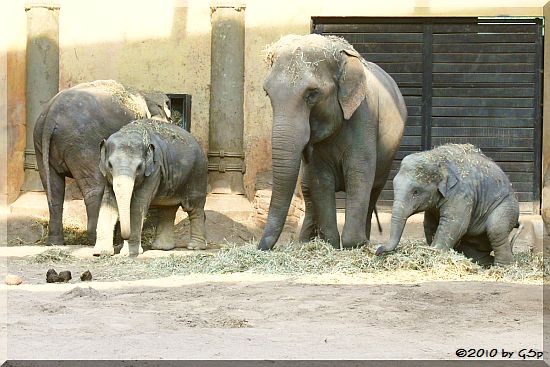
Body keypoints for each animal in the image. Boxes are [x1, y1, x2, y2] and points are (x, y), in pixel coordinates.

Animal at [33, 80, 171, 247]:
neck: (145, 93)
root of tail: (52, 113)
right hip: (84, 144)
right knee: (94, 188)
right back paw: (96, 240)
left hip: (41, 143)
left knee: (54, 189)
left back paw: (55, 242)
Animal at [94, 119, 208, 258]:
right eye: (110, 165)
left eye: (139, 167)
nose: (123, 237)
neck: (131, 131)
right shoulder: (108, 178)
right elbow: (108, 203)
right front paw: (100, 253)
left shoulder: (154, 170)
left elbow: (137, 206)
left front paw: (129, 253)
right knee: (167, 209)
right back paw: (161, 248)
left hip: (198, 174)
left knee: (194, 208)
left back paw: (195, 247)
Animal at [258, 34, 406, 252]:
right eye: (267, 93)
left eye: (312, 93)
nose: (261, 247)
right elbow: (320, 179)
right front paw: (331, 243)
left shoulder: (364, 116)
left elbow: (359, 174)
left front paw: (355, 244)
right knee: (307, 187)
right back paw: (306, 241)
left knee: (374, 190)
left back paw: (364, 239)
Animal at [378, 144, 524, 268]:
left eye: (416, 191)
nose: (378, 249)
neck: (436, 157)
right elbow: (429, 224)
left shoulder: (461, 193)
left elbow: (455, 224)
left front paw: (433, 253)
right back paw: (482, 263)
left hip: (508, 205)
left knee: (496, 229)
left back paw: (502, 267)